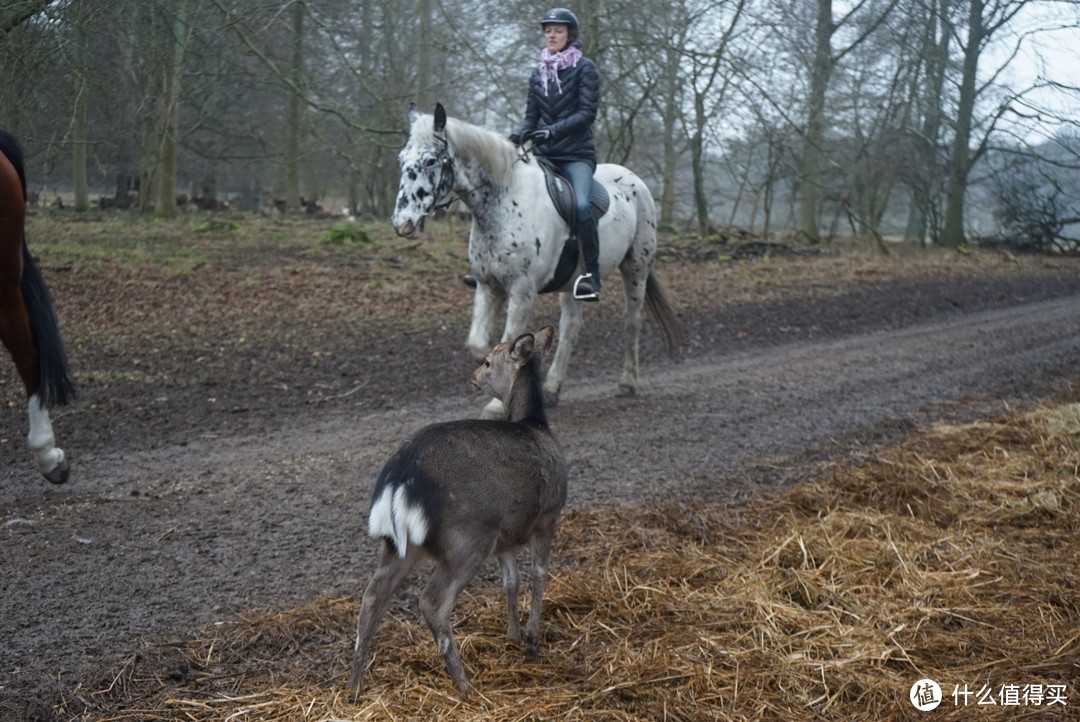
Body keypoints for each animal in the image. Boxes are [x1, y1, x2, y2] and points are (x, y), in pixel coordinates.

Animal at [349, 325, 570, 690]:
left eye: (488, 361)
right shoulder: (549, 515)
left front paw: (512, 635)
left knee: (371, 597)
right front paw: (531, 643)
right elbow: (539, 575)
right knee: (432, 602)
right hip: (466, 537)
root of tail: (399, 478)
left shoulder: (506, 536)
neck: (536, 424)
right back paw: (464, 683)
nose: (472, 376)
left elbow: (512, 580)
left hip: (396, 544)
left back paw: (353, 685)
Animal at [393, 103, 678, 414]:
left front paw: (496, 405)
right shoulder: (487, 285)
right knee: (570, 329)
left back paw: (627, 383)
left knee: (631, 321)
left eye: (431, 160)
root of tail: (635, 180)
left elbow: (510, 341)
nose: (403, 224)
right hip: (572, 284)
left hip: (636, 268)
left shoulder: (522, 289)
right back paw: (552, 389)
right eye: (401, 159)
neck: (504, 204)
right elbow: (479, 346)